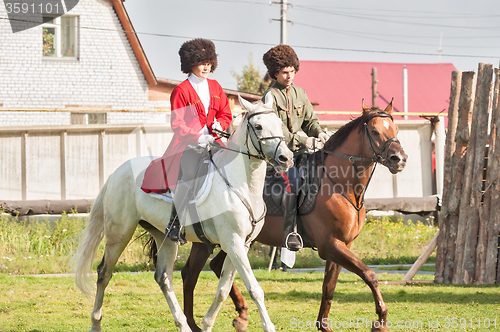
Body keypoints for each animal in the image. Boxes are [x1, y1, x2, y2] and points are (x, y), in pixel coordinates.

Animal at [72, 96, 294, 332]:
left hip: (164, 235)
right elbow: (254, 289)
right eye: (258, 126)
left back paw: (183, 324)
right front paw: (268, 326)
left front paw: (207, 324)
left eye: (279, 124)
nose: (286, 158)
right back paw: (96, 323)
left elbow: (223, 289)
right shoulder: (232, 242)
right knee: (104, 273)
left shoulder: (242, 244)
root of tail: (116, 172)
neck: (240, 184)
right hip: (119, 233)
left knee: (163, 278)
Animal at [180, 101, 406, 332]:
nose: (399, 159)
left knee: (215, 267)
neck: (340, 184)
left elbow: (329, 286)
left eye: (396, 130)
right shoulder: (330, 245)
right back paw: (193, 322)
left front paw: (324, 325)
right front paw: (381, 320)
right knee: (190, 275)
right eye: (375, 131)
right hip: (208, 240)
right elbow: (370, 274)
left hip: (233, 241)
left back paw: (241, 315)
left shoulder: (342, 245)